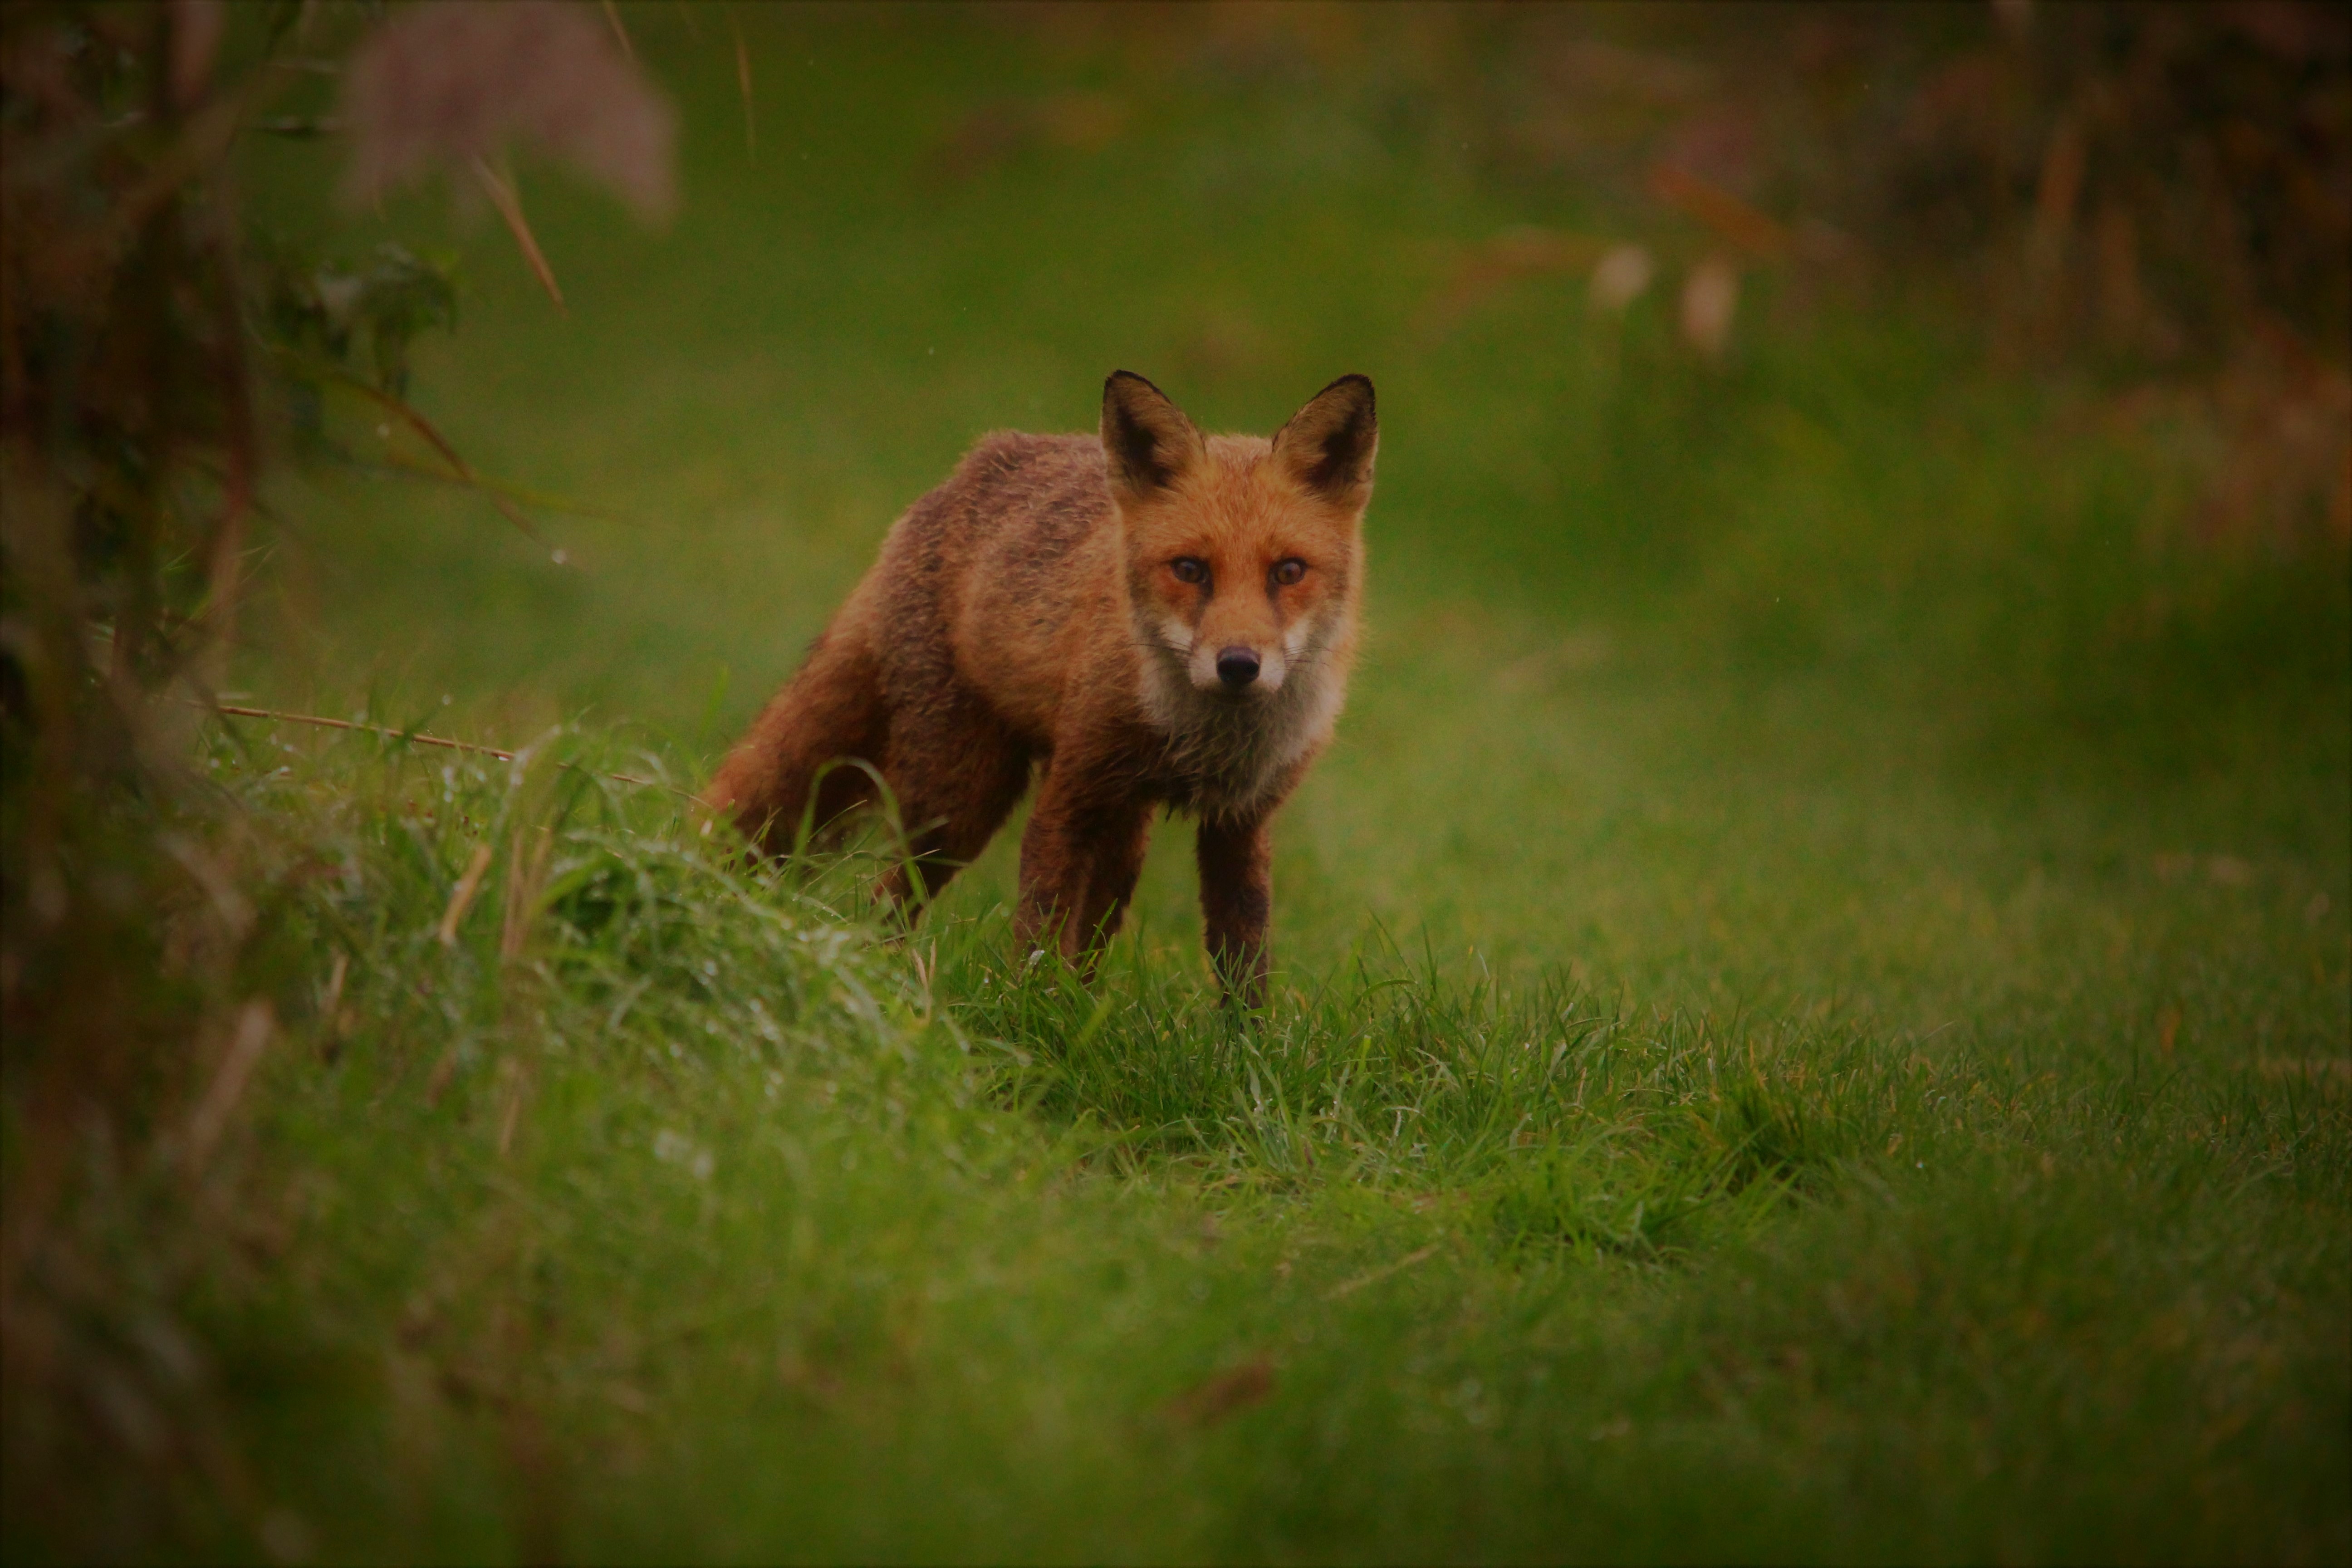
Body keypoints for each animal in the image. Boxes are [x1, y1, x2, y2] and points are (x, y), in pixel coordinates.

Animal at [710, 371, 1373, 1006]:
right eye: (1190, 570)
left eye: (1288, 572)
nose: (1238, 665)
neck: (1203, 741)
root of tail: (958, 477)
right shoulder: (1070, 795)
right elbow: (1039, 930)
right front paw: (1030, 1021)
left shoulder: (1241, 824)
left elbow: (1243, 960)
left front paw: (1247, 1044)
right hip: (960, 800)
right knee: (885, 896)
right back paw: (877, 977)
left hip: (1121, 830)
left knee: (1090, 928)